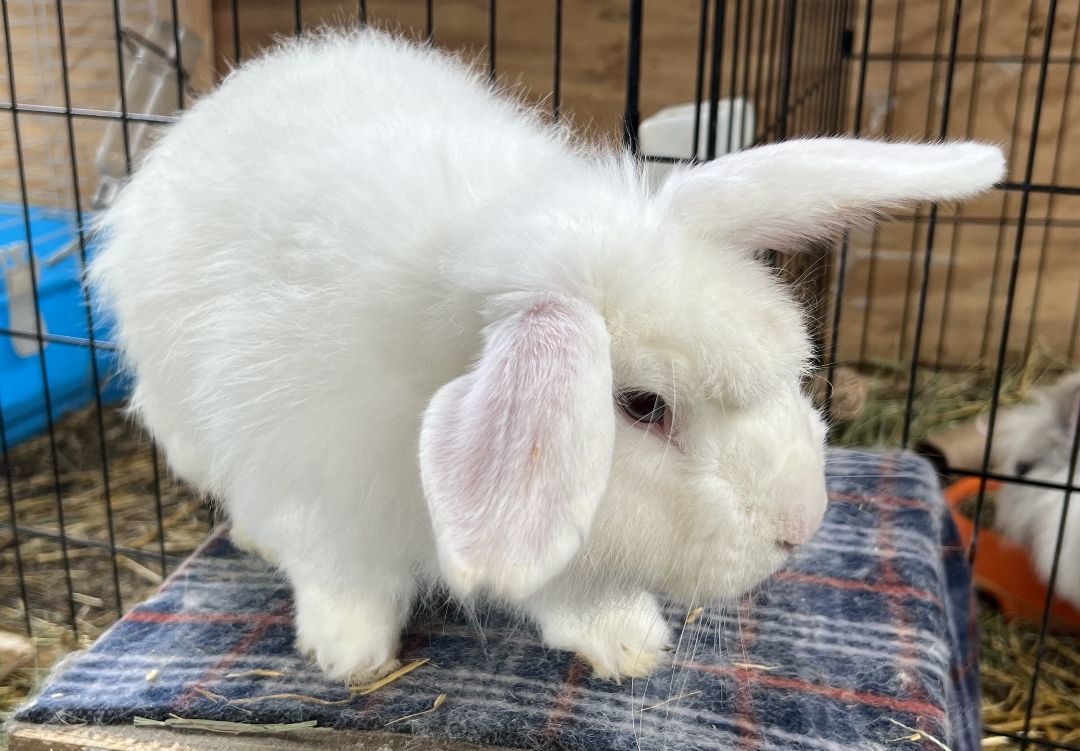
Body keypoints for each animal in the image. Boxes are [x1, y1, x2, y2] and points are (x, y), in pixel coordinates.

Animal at [88, 29, 1005, 683]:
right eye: (642, 406)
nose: (802, 525)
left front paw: (626, 642)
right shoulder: (316, 481)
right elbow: (341, 571)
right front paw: (348, 652)